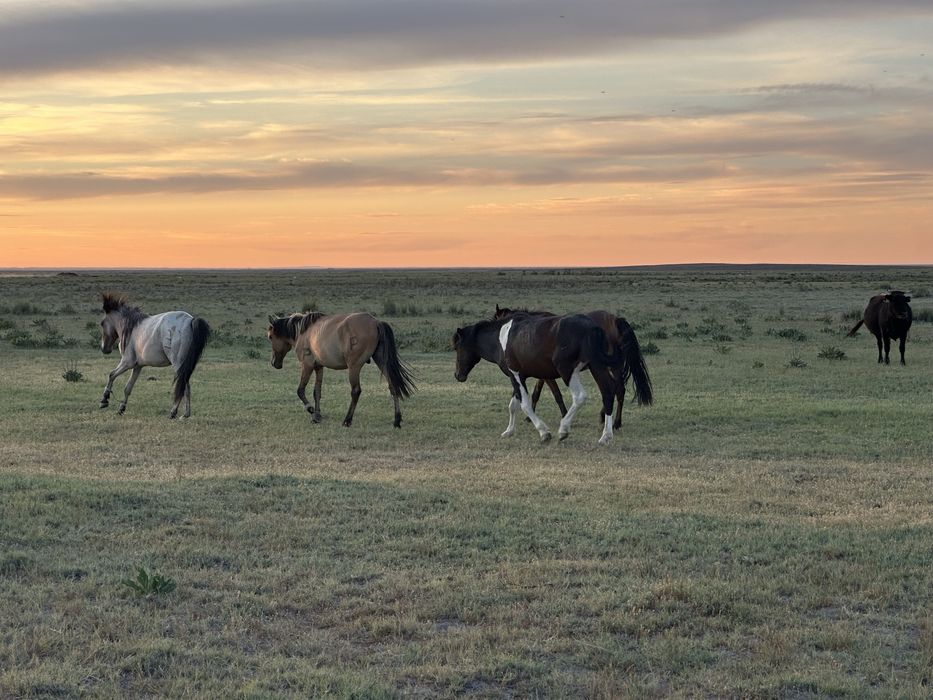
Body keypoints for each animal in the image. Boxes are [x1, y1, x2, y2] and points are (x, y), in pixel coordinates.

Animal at [267, 311, 415, 428]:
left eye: (270, 337)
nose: (274, 363)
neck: (304, 332)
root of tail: (376, 322)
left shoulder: (307, 365)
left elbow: (300, 390)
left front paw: (311, 410)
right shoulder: (319, 367)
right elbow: (317, 392)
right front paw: (317, 416)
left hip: (354, 367)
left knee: (356, 391)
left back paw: (347, 420)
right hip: (382, 361)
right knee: (393, 386)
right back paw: (396, 420)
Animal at [454, 312, 627, 444]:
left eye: (457, 347)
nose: (458, 375)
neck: (501, 337)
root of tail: (593, 327)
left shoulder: (515, 375)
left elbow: (525, 405)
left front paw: (544, 433)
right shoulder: (519, 378)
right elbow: (513, 405)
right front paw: (509, 431)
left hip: (567, 371)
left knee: (580, 397)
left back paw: (563, 430)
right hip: (596, 366)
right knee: (608, 392)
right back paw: (605, 436)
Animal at [494, 305, 653, 430]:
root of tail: (615, 319)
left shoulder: (546, 375)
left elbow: (556, 394)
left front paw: (564, 416)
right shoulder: (543, 374)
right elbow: (536, 393)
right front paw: (529, 417)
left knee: (615, 389)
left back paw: (612, 422)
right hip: (615, 366)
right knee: (618, 389)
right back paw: (613, 421)